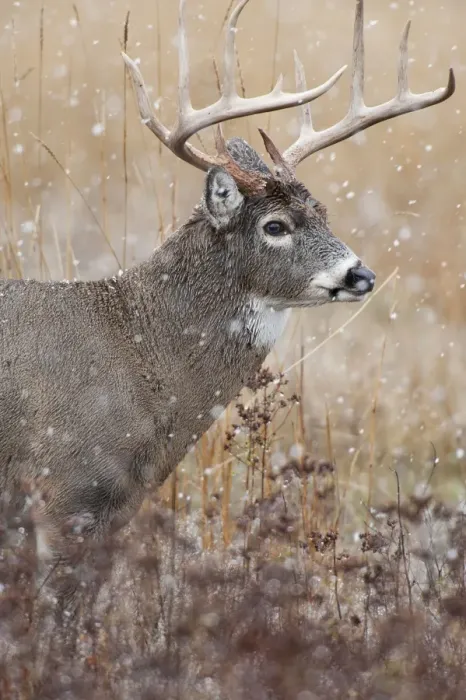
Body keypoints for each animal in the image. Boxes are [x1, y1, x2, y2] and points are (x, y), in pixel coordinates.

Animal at [0, 0, 455, 602]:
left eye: (325, 213)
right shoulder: (66, 487)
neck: (133, 348)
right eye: (276, 225)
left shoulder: (115, 506)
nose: (361, 274)